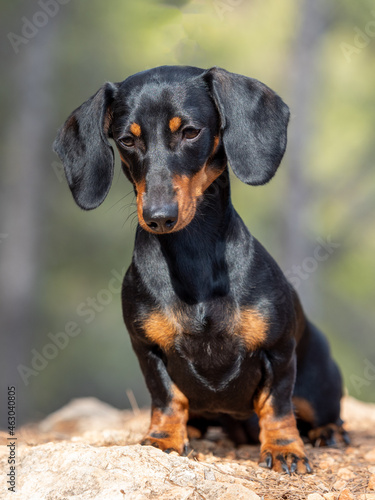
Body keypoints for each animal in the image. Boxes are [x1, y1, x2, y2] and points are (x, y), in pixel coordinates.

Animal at [53, 65, 350, 472]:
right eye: (127, 141)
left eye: (191, 132)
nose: (159, 217)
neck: (194, 260)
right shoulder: (148, 350)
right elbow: (166, 398)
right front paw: (163, 439)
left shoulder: (277, 350)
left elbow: (277, 404)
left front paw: (284, 448)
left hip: (318, 386)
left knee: (319, 411)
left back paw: (329, 432)